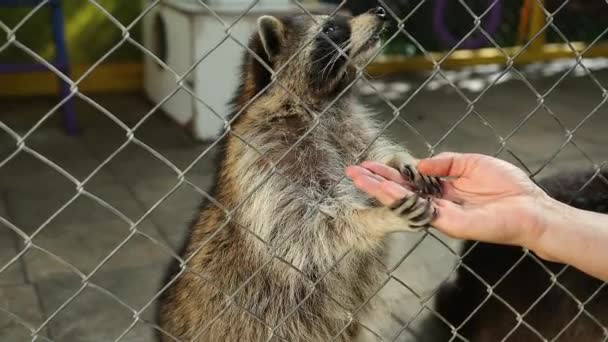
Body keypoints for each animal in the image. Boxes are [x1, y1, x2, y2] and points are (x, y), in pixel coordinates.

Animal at [157, 6, 442, 342]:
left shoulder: (350, 128)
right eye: (330, 29)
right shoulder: (265, 158)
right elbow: (302, 229)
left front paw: (402, 161)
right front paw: (373, 217)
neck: (325, 103)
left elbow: (372, 153)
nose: (381, 11)